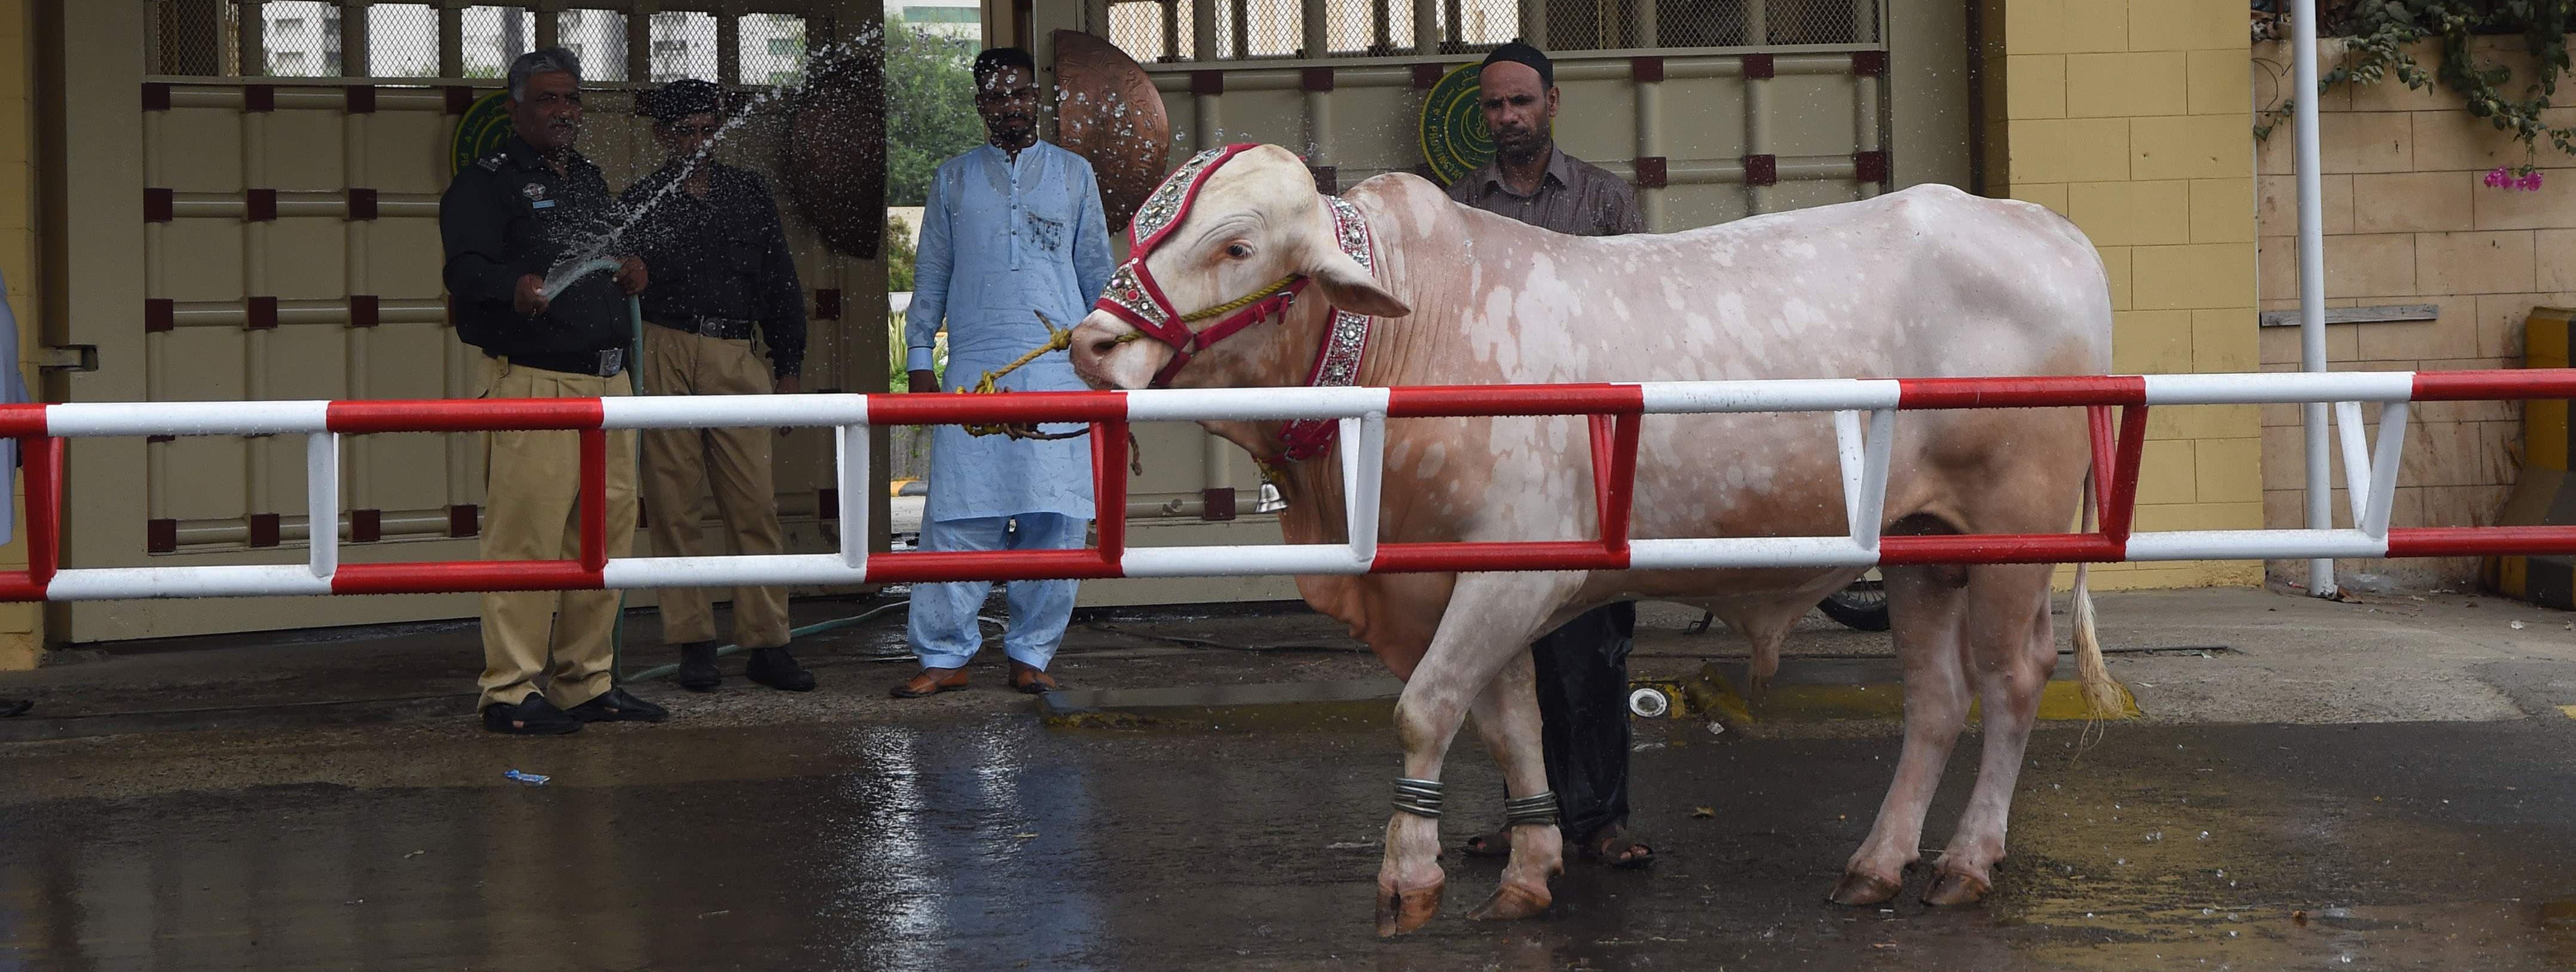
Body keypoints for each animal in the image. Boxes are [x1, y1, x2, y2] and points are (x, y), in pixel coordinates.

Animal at [1066, 144, 2118, 936]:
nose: (1091, 343)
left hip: (2010, 531)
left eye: (1236, 245)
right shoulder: (1472, 576)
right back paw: (1876, 862)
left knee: (2012, 679)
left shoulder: (1516, 573)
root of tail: (2045, 229)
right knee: (1935, 699)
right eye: (1142, 224)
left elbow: (1425, 709)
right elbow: (1509, 723)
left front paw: (1408, 876)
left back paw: (1967, 860)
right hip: (1920, 548)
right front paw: (1529, 867)